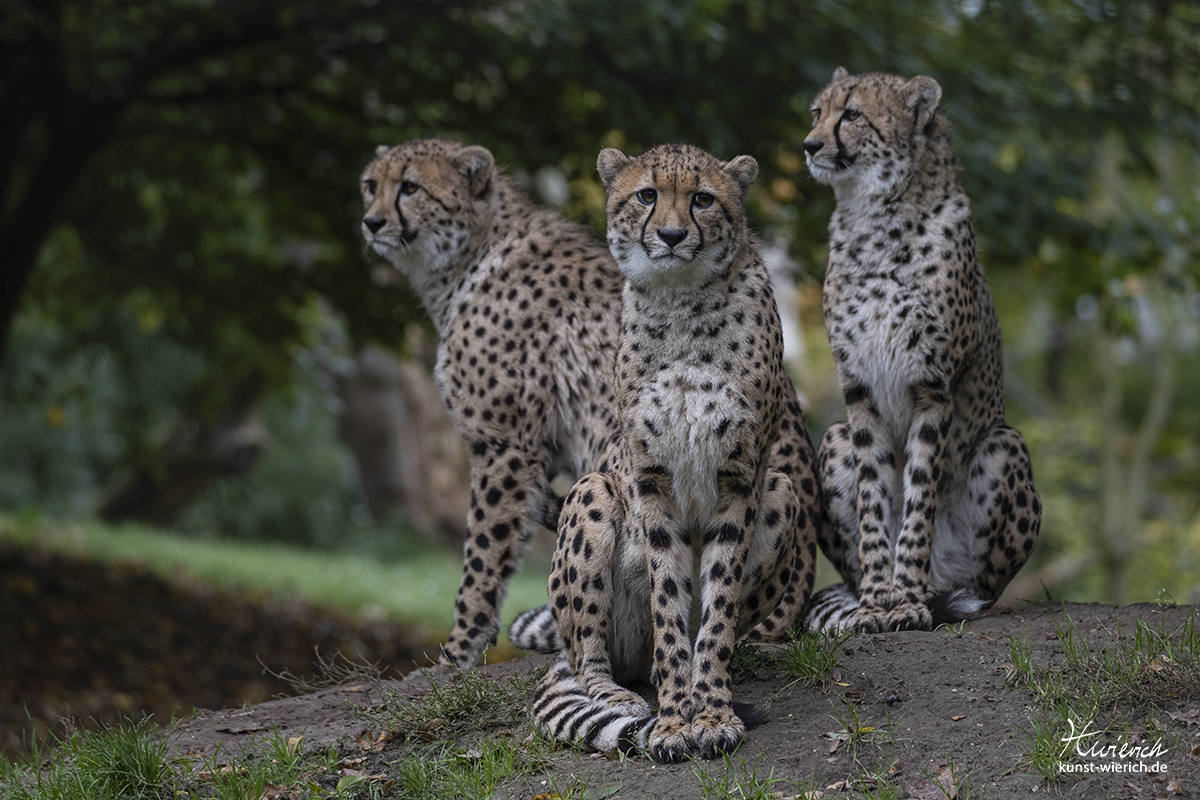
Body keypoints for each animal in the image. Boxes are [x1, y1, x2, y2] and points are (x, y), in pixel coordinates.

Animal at [357, 139, 825, 671]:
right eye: (371, 185)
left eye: (410, 187)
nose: (372, 221)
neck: (469, 257)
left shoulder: (507, 447)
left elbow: (483, 554)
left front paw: (458, 652)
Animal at [516, 143, 816, 762]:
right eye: (647, 195)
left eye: (702, 198)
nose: (674, 235)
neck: (682, 303)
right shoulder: (651, 479)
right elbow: (670, 603)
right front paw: (677, 719)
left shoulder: (740, 478)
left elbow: (717, 608)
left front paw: (712, 711)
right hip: (592, 492)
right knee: (588, 657)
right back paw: (623, 693)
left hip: (781, 492)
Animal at [796, 68, 1041, 633]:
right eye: (817, 113)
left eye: (852, 114)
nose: (810, 145)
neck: (874, 218)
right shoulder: (859, 391)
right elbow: (874, 497)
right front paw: (876, 601)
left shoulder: (932, 387)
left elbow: (919, 493)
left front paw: (905, 598)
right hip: (834, 437)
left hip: (1003, 443)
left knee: (981, 585)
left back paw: (936, 592)